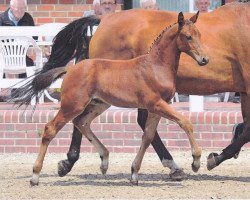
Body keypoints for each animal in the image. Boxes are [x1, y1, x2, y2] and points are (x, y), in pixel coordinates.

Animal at [10, 1, 249, 180]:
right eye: (188, 37)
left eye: (199, 34)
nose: (205, 59)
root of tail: (103, 20)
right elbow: (235, 130)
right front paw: (208, 159)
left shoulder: (244, 91)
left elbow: (244, 129)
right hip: (90, 99)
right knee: (64, 124)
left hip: (100, 99)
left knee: (83, 121)